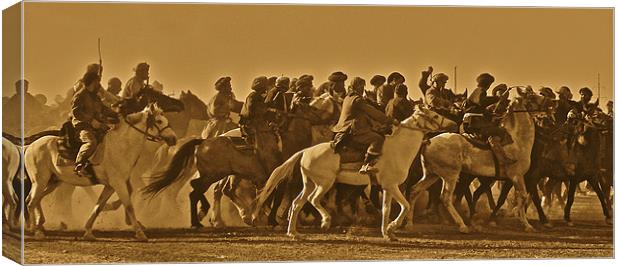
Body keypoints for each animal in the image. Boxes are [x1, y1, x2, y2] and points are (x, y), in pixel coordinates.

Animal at [23, 104, 176, 241]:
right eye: (159, 121)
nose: (173, 138)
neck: (120, 146)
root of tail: (31, 146)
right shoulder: (119, 184)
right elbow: (128, 205)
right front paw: (140, 233)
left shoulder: (110, 186)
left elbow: (99, 206)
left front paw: (88, 232)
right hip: (40, 181)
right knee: (31, 201)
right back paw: (36, 231)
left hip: (52, 182)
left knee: (35, 199)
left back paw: (39, 224)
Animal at [249, 106, 458, 241]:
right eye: (434, 115)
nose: (453, 124)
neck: (398, 148)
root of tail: (306, 151)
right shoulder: (392, 186)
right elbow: (405, 206)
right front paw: (392, 227)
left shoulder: (387, 188)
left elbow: (386, 210)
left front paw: (388, 233)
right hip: (324, 184)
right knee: (313, 200)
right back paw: (325, 221)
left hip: (309, 183)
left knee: (296, 203)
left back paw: (293, 233)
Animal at [410, 88, 556, 233]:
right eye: (531, 97)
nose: (552, 102)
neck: (517, 140)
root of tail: (428, 142)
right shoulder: (516, 176)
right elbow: (523, 197)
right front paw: (526, 224)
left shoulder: (513, 178)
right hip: (450, 176)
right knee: (445, 198)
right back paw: (462, 224)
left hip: (432, 174)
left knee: (415, 190)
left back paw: (409, 222)